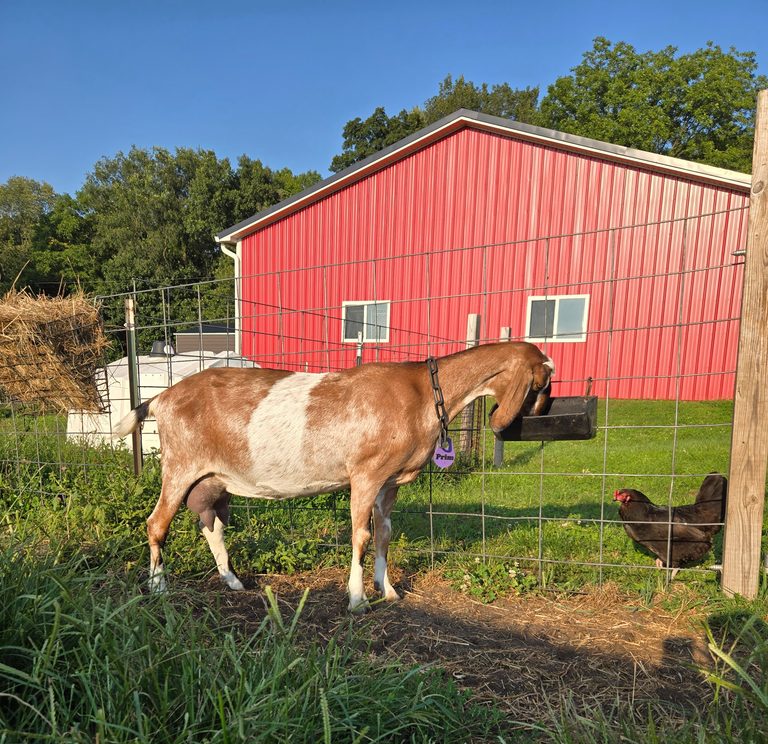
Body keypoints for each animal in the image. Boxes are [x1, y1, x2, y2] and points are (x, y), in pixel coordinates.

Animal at [114, 341, 554, 612]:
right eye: (541, 382)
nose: (540, 420)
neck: (423, 393)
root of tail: (162, 398)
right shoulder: (365, 474)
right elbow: (360, 535)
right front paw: (357, 598)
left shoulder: (389, 483)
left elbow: (384, 534)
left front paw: (389, 591)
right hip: (179, 465)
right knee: (157, 522)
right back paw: (158, 586)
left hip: (211, 479)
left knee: (211, 524)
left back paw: (233, 581)